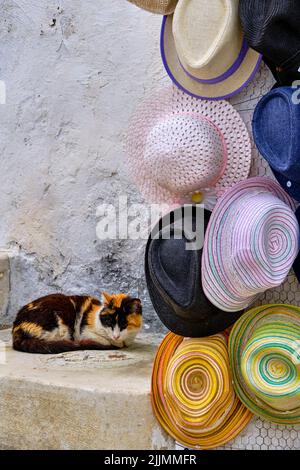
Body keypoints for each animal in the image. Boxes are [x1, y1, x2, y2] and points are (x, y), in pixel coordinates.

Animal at [12, 292, 142, 354]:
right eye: (109, 321)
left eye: (124, 324)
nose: (116, 336)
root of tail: (16, 327)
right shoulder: (85, 332)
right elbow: (105, 340)